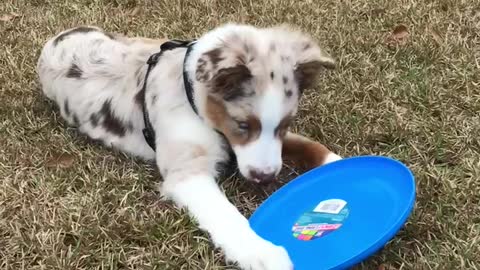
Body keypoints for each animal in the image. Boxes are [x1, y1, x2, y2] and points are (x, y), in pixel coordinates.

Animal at [37, 24, 344, 268]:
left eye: (286, 123)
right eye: (242, 124)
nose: (265, 177)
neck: (192, 97)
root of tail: (55, 39)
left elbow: (307, 144)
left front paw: (338, 163)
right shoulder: (189, 174)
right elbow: (227, 216)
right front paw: (264, 254)